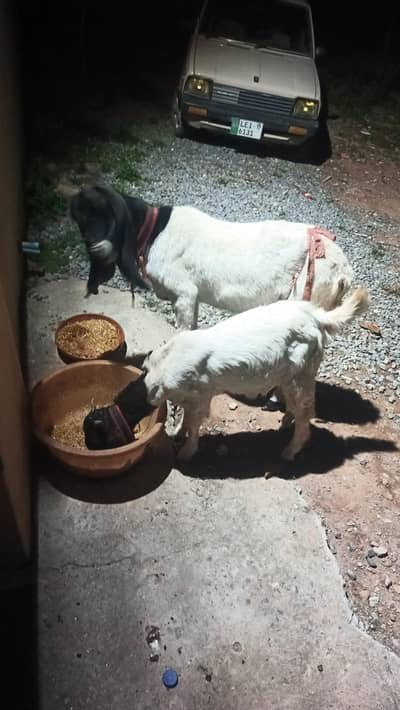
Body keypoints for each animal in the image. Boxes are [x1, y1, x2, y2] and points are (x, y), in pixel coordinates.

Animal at [70, 185, 354, 329]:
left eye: (94, 222)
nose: (91, 287)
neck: (155, 231)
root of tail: (343, 273)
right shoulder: (193, 298)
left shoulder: (184, 294)